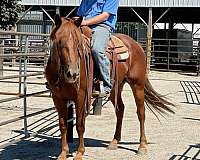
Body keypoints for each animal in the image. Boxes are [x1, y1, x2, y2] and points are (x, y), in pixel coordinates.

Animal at [44, 15, 174, 160]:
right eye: (59, 41)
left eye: (78, 43)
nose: (73, 74)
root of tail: (136, 45)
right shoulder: (58, 98)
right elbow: (63, 125)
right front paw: (63, 153)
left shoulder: (81, 96)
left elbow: (80, 125)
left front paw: (79, 153)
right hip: (115, 88)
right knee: (120, 109)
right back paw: (114, 141)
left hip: (137, 85)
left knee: (141, 113)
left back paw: (142, 146)